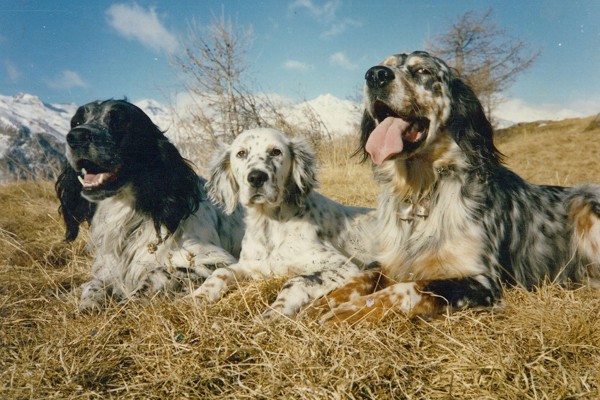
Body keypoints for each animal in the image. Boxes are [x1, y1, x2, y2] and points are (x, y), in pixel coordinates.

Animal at [55, 98, 244, 310]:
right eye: (77, 122)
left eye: (119, 121)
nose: (76, 136)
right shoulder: (108, 267)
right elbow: (94, 282)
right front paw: (89, 300)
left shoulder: (218, 261)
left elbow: (159, 272)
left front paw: (131, 297)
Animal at [190, 126, 376, 318]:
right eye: (241, 153)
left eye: (276, 151)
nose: (256, 177)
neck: (269, 224)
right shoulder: (251, 266)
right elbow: (221, 271)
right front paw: (198, 297)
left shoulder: (343, 265)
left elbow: (296, 280)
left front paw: (275, 311)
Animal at [314, 50, 600, 324]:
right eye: (385, 64)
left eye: (423, 71)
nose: (375, 75)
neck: (422, 190)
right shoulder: (388, 259)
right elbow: (360, 277)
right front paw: (324, 302)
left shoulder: (482, 281)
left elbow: (410, 288)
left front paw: (352, 310)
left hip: (584, 204)